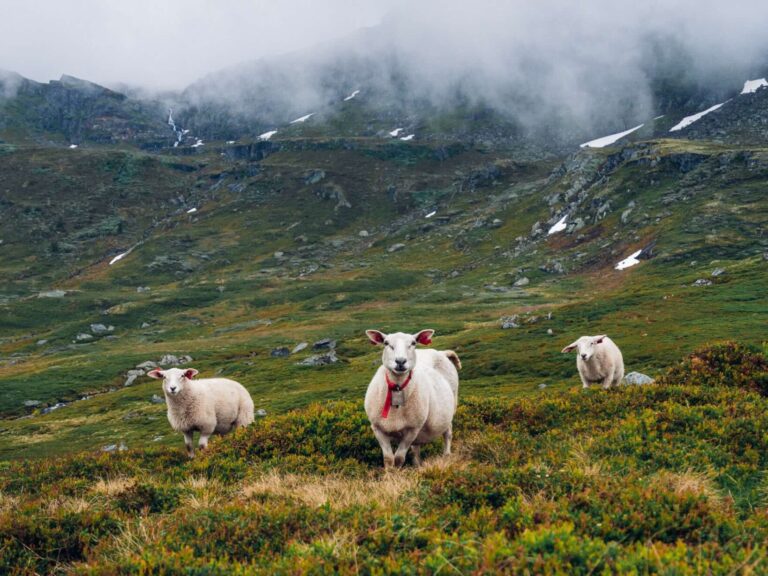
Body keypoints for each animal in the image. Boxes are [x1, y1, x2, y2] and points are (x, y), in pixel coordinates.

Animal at [364, 328, 460, 468]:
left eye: (413, 343)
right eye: (386, 343)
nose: (400, 361)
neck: (397, 387)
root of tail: (441, 352)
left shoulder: (412, 429)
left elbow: (399, 458)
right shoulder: (378, 428)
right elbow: (388, 459)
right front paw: (389, 473)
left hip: (450, 411)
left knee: (448, 434)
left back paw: (446, 455)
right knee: (416, 446)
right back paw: (417, 464)